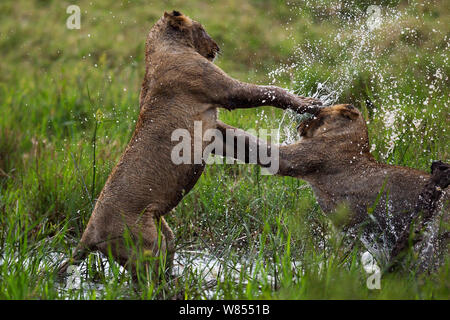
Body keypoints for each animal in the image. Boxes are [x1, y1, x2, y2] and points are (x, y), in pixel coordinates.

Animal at [59, 10, 320, 280]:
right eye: (202, 28)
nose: (217, 47)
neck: (161, 48)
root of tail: (89, 234)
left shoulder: (213, 130)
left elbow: (244, 142)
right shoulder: (226, 90)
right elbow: (272, 91)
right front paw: (308, 103)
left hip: (163, 233)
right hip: (146, 244)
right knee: (150, 280)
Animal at [216, 105, 448, 272]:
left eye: (317, 114)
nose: (298, 127)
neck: (354, 139)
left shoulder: (297, 158)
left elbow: (250, 142)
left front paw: (218, 123)